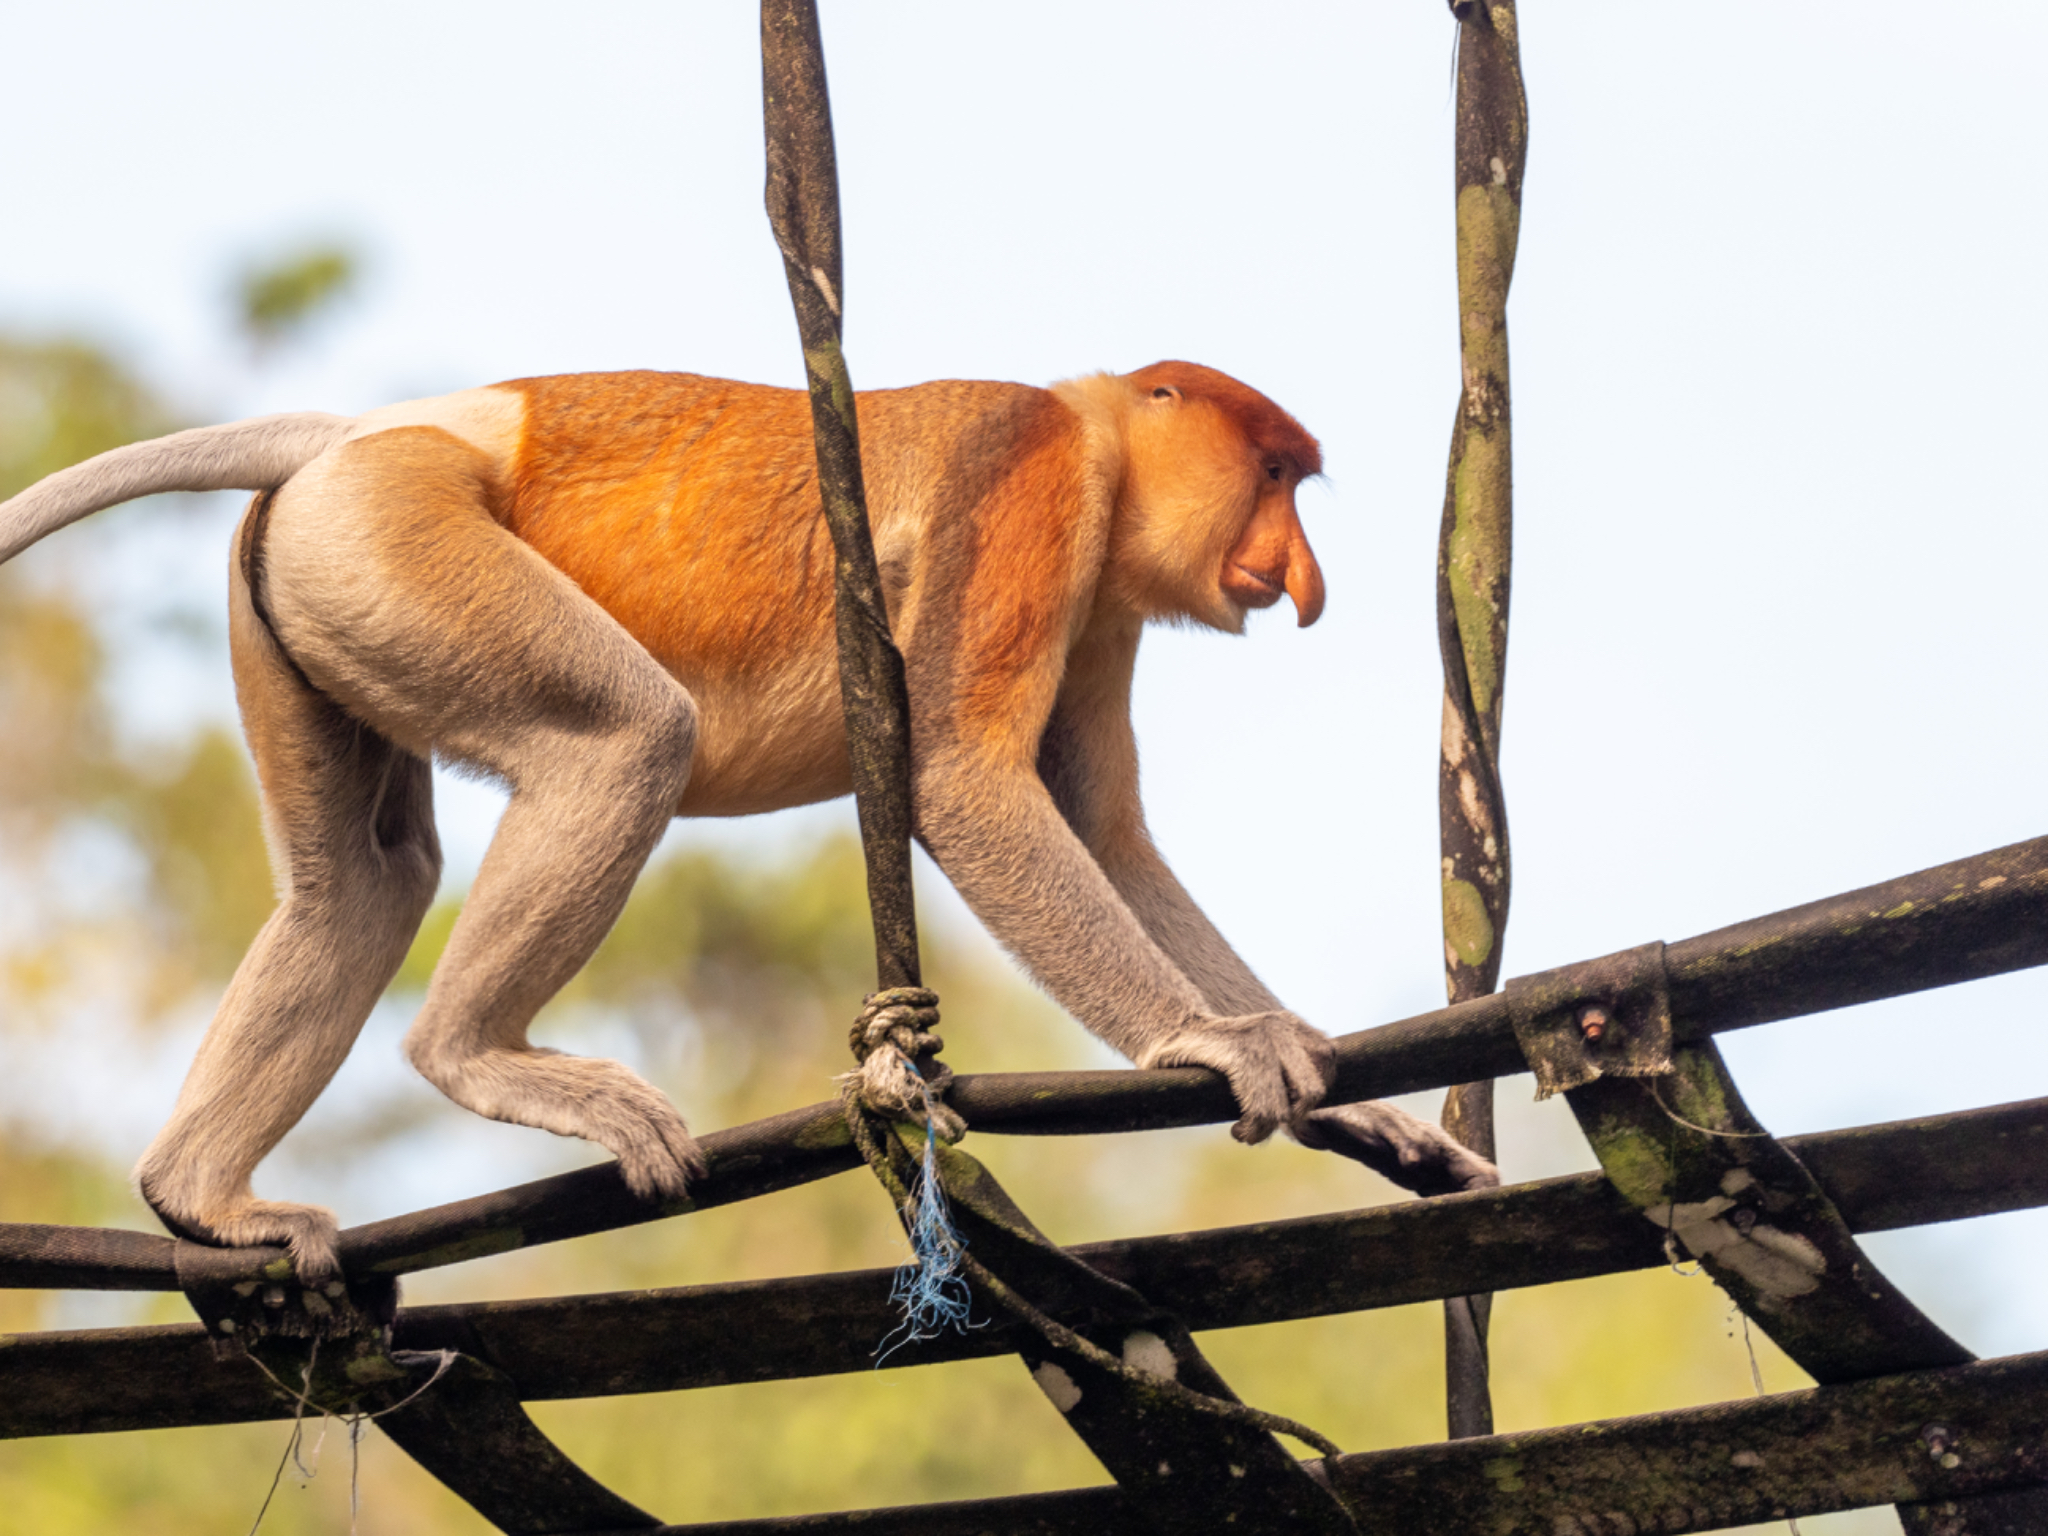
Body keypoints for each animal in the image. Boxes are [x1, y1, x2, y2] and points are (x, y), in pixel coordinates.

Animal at [0, 360, 1496, 1279]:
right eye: (1276, 475)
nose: (1300, 580)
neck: (1094, 429)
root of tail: (356, 435)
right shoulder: (1031, 491)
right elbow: (972, 784)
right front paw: (1218, 1043)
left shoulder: (1103, 599)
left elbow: (1108, 829)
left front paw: (1362, 1112)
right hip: (399, 542)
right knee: (625, 738)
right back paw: (476, 1055)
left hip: (308, 580)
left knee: (361, 883)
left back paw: (202, 1195)